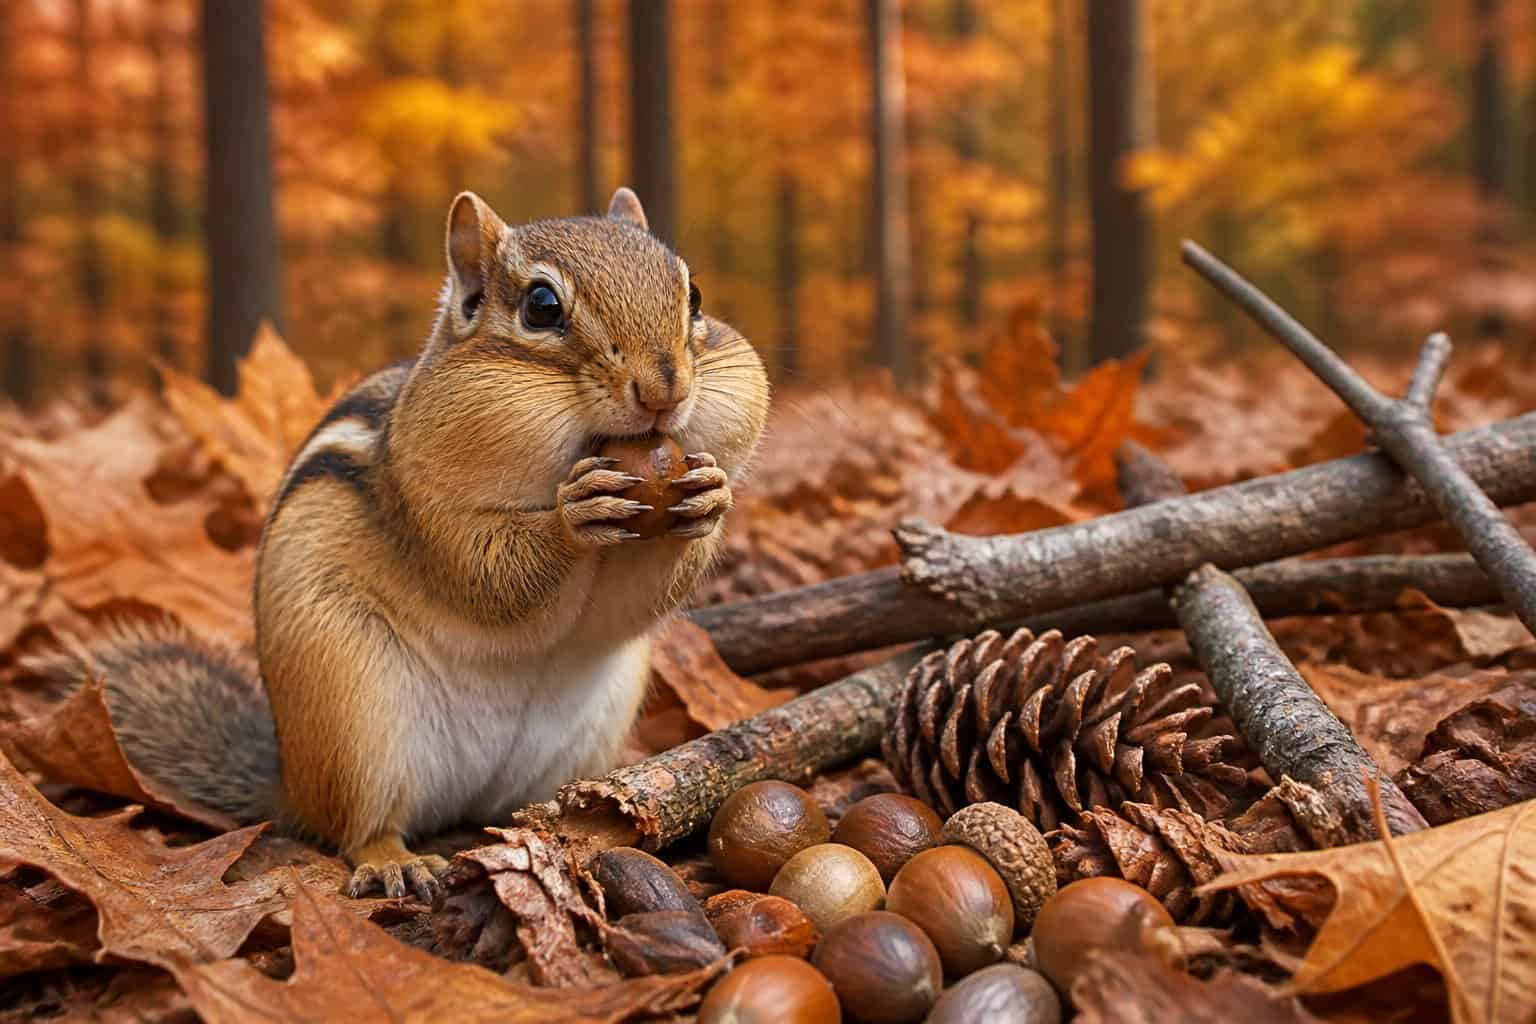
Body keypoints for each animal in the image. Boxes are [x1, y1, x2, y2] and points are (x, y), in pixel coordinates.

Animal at [29, 187, 771, 901]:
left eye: (694, 297)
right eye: (541, 306)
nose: (664, 390)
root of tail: (291, 784)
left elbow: (642, 596)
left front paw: (710, 496)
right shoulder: (426, 511)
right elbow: (487, 576)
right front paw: (572, 517)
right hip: (353, 714)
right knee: (359, 827)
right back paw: (394, 862)